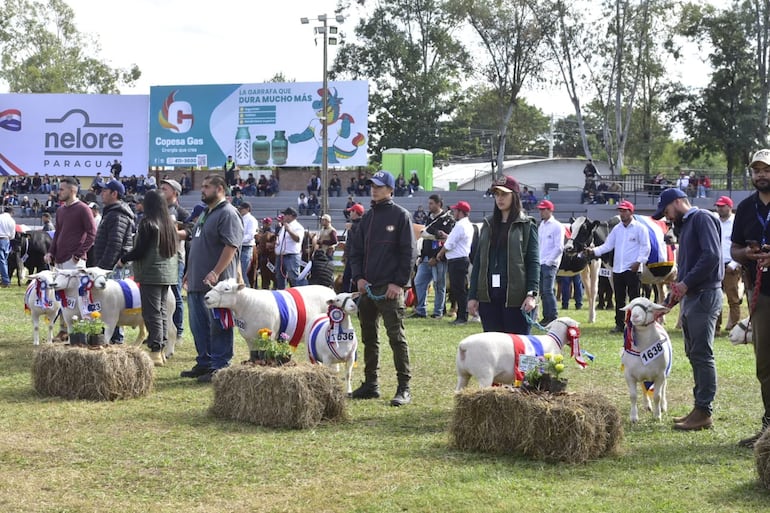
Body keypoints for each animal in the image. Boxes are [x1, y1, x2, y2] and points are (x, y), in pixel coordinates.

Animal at [204, 278, 336, 358]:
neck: (248, 303)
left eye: (226, 289)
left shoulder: (269, 336)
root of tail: (332, 292)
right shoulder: (249, 339)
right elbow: (253, 355)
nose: (206, 297)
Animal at [616, 294, 668, 422]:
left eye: (648, 306)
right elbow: (633, 396)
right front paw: (634, 417)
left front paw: (657, 415)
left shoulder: (660, 375)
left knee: (664, 388)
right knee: (643, 387)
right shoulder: (629, 375)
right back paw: (647, 405)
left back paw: (663, 406)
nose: (634, 316)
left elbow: (657, 396)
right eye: (630, 307)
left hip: (665, 373)